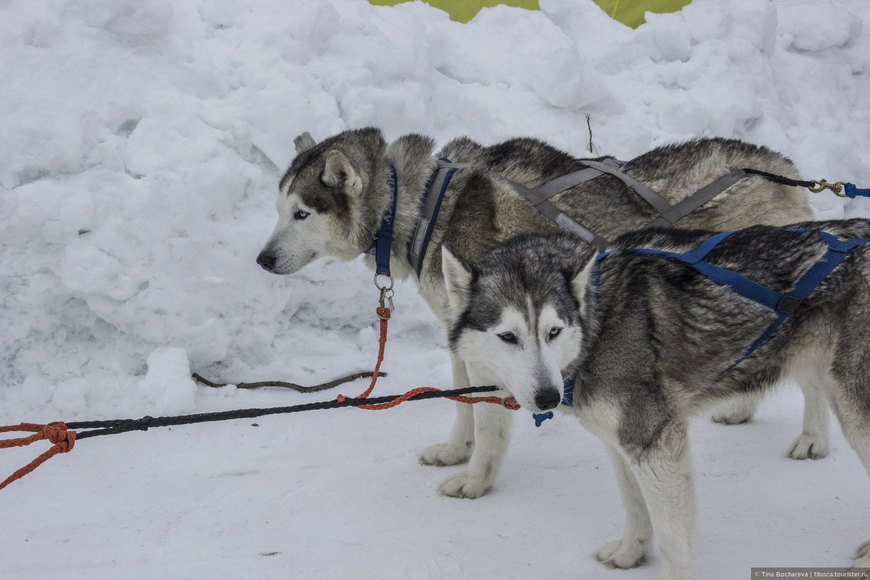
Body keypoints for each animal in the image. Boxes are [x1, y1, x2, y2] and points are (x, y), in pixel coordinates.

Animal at [258, 127, 816, 498]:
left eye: (301, 213)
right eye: (279, 210)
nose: (262, 259)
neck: (422, 208)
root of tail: (785, 169)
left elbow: (488, 422)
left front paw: (476, 479)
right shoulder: (467, 337)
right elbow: (464, 405)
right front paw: (455, 450)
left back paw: (812, 438)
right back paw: (741, 407)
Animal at [442, 220, 870, 576]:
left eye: (554, 331)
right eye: (507, 336)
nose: (548, 397)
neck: (600, 320)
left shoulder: (655, 445)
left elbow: (673, 538)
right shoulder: (621, 444)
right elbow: (635, 506)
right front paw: (630, 553)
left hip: (857, 411)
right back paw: (812, 439)